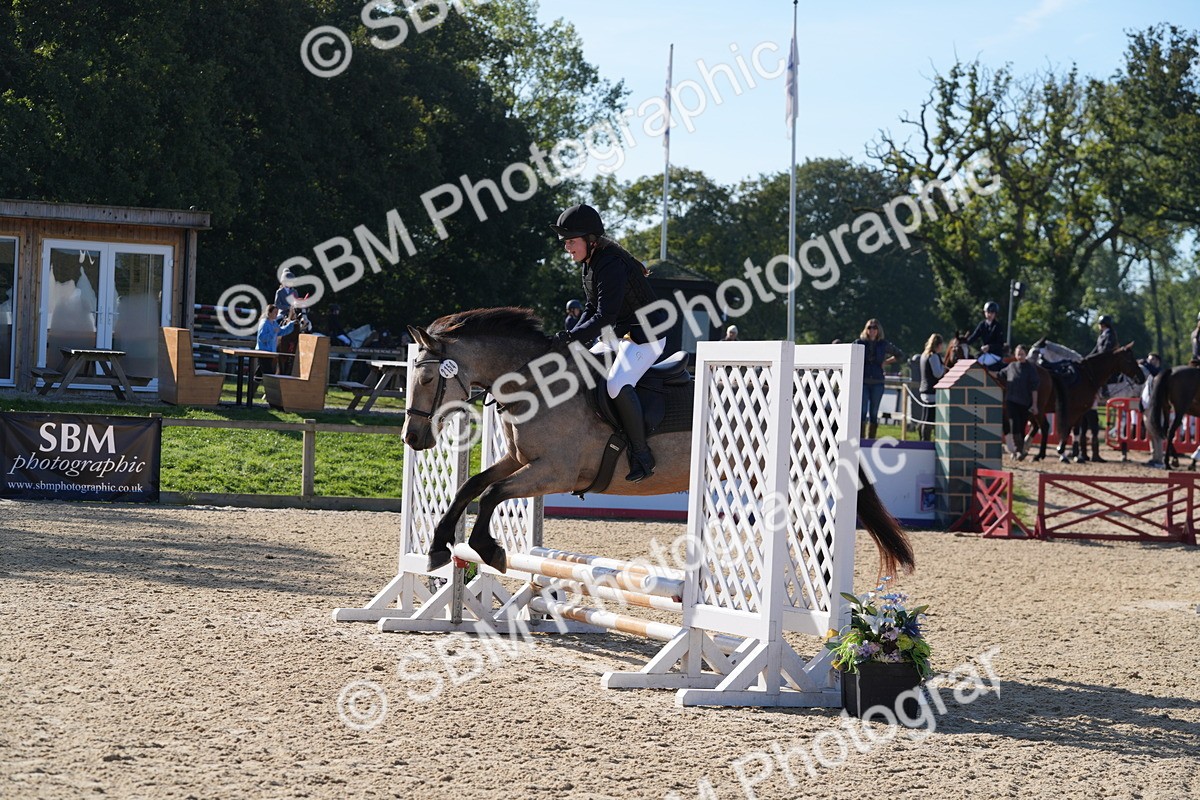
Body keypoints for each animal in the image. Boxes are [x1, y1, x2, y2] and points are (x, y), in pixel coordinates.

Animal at [401, 307, 915, 579]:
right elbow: (471, 488)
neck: (537, 384)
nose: (413, 437)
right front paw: (439, 547)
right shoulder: (519, 459)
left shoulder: (553, 472)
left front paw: (487, 548)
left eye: (426, 379)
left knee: (818, 521)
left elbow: (491, 494)